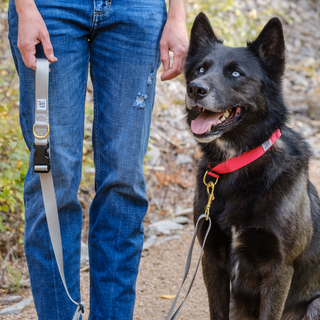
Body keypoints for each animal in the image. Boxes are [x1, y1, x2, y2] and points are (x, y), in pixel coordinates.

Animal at [184, 13, 320, 320]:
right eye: (200, 69)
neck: (238, 161)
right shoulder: (211, 258)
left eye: (236, 74)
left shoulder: (278, 269)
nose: (195, 89)